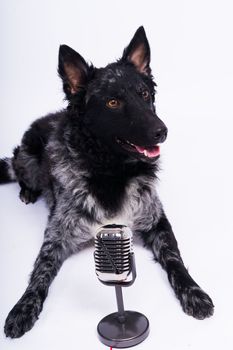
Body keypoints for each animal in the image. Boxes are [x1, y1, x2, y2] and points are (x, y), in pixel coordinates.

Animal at [0, 26, 214, 338]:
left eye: (145, 94)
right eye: (113, 102)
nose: (162, 131)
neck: (111, 172)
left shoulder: (156, 221)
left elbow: (175, 259)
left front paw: (194, 292)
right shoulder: (56, 235)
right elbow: (41, 269)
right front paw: (22, 307)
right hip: (26, 158)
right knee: (18, 168)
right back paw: (27, 192)